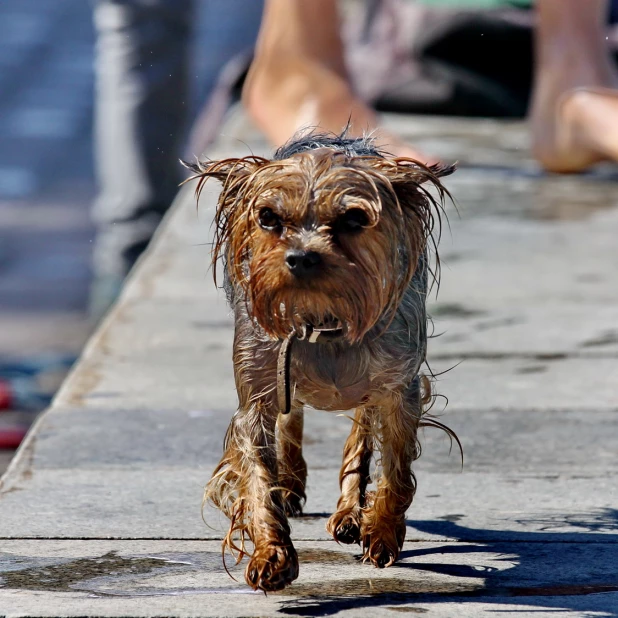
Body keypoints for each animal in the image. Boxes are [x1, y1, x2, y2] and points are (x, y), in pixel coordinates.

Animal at [186, 132, 452, 588]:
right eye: (268, 217)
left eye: (353, 219)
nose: (301, 256)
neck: (321, 319)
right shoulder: (257, 393)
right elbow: (259, 478)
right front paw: (272, 553)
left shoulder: (398, 388)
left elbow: (395, 471)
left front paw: (381, 530)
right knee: (291, 419)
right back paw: (293, 483)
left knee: (360, 435)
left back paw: (349, 513)